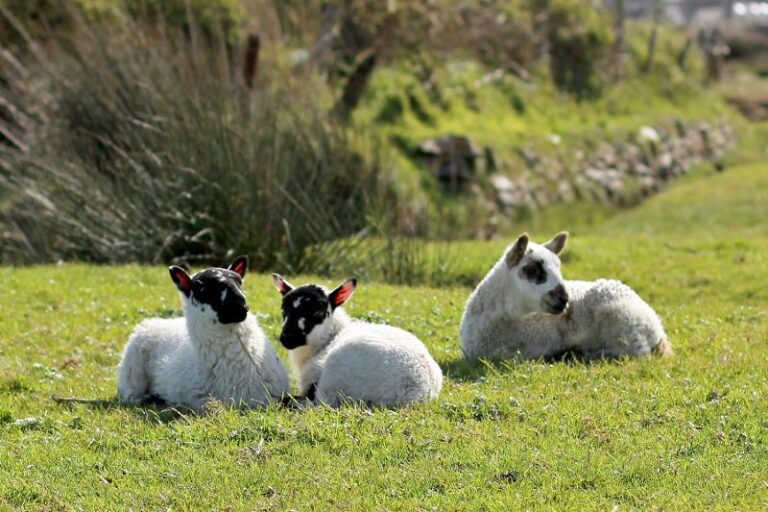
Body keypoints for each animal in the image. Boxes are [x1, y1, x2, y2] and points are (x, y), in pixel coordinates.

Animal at [117, 256, 289, 411]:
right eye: (201, 287)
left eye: (239, 281)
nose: (239, 303)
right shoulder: (196, 398)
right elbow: (212, 406)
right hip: (132, 373)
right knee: (130, 395)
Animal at [272, 275, 443, 408]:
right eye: (284, 310)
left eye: (317, 312)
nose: (287, 338)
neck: (330, 338)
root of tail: (413, 391)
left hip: (333, 381)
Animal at [460, 232, 671, 361]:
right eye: (531, 270)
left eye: (559, 266)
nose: (564, 299)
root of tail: (657, 328)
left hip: (623, 322)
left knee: (637, 353)